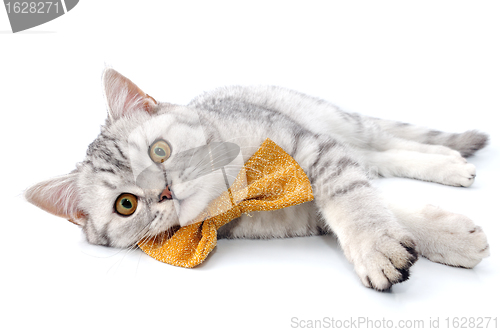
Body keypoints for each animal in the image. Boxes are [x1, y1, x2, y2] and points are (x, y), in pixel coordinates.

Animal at [24, 68, 488, 290]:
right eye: (126, 205)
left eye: (159, 151)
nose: (165, 191)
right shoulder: (304, 213)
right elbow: (377, 202)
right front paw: (446, 238)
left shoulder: (312, 148)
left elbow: (354, 199)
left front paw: (379, 246)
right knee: (376, 158)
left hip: (335, 121)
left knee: (384, 144)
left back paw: (449, 160)